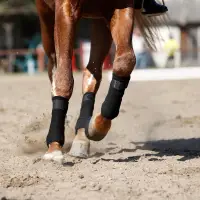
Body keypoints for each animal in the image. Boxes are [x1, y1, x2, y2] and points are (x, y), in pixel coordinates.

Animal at [35, 0, 162, 162]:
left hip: (99, 20)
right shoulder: (65, 9)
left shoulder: (121, 7)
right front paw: (54, 147)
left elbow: (125, 61)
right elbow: (64, 78)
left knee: (92, 73)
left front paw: (96, 127)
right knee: (54, 66)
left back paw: (81, 137)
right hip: (46, 16)